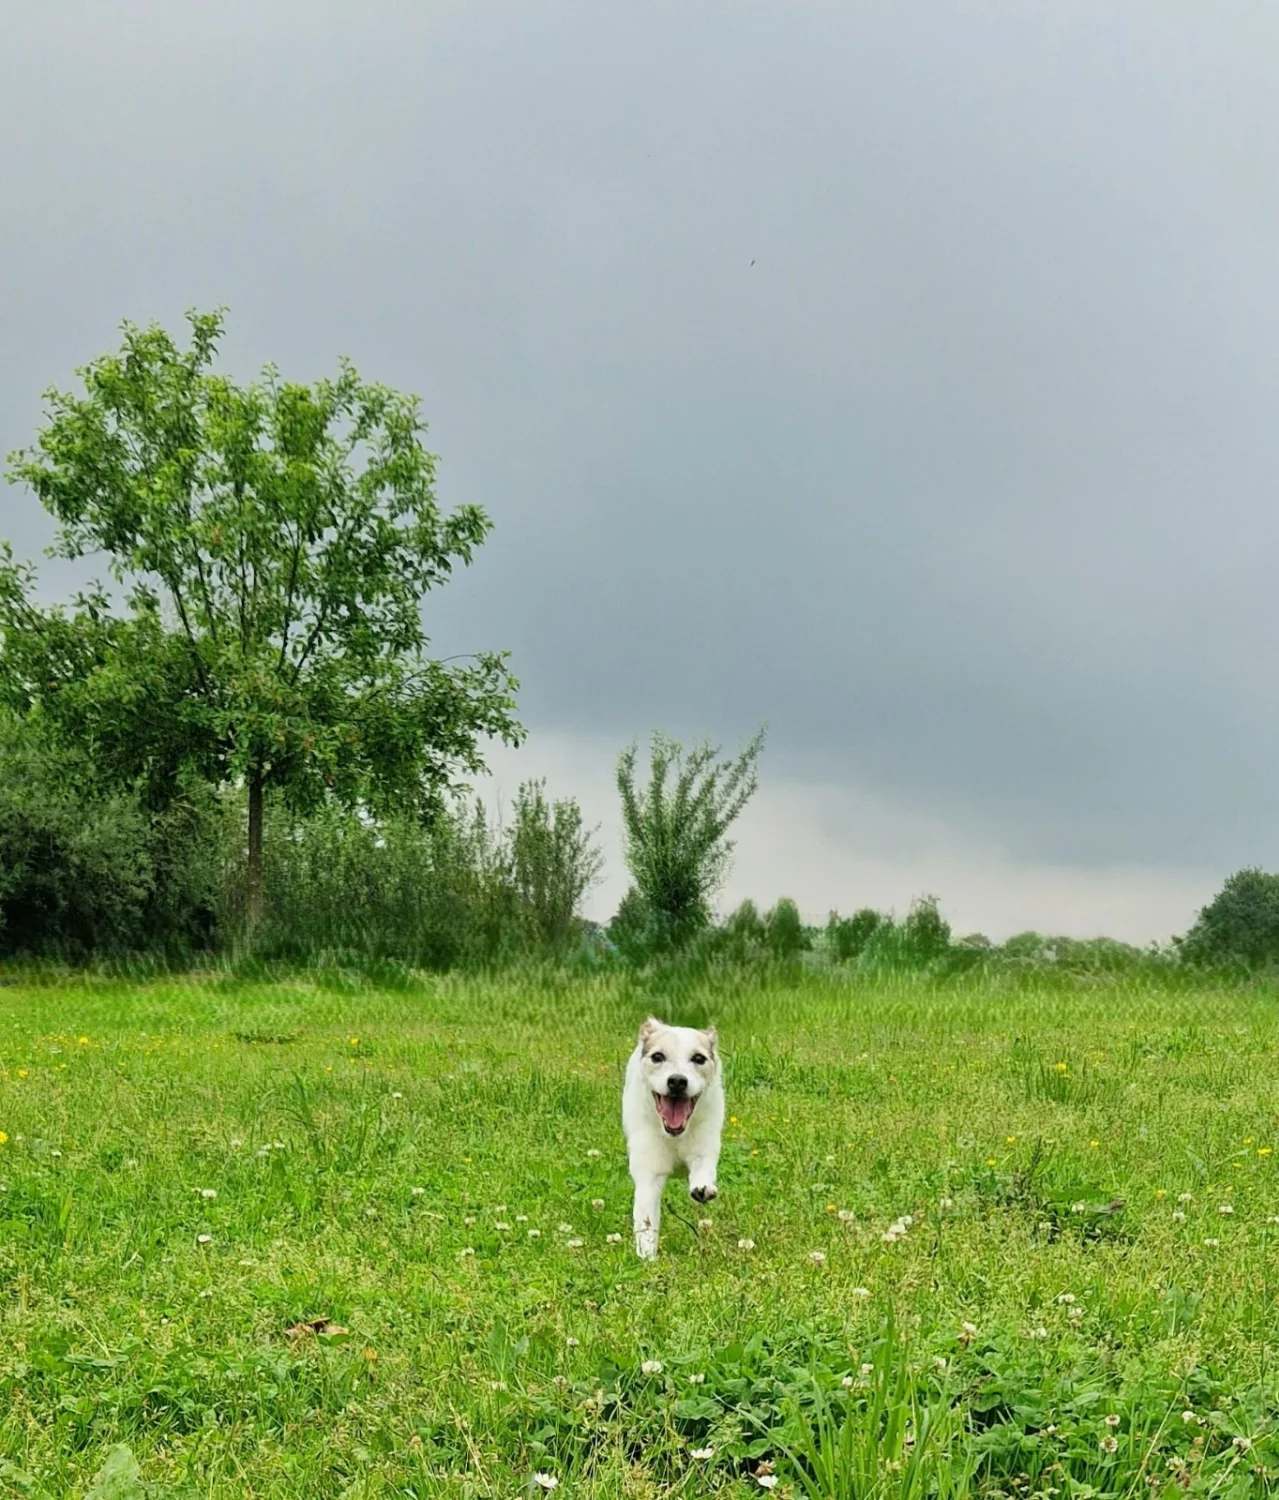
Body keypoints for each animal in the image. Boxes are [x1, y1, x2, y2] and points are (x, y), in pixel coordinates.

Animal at [623, 1020, 722, 1254]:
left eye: (699, 1058)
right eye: (658, 1056)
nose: (677, 1081)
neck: (675, 1136)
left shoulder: (704, 1146)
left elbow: (703, 1167)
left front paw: (702, 1188)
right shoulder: (648, 1173)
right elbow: (646, 1220)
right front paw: (646, 1256)